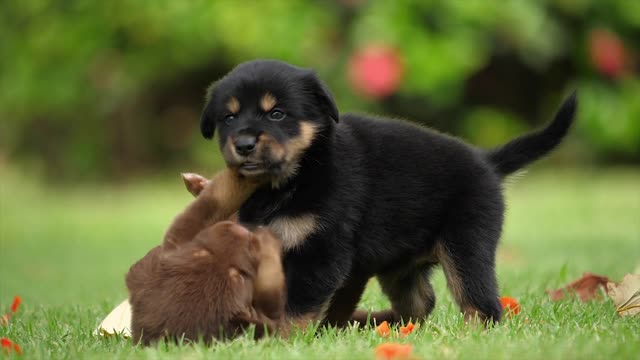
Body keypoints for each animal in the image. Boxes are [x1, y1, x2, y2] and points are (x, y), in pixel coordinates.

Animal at [199, 58, 576, 324]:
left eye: (277, 114)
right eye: (229, 118)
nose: (244, 144)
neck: (298, 175)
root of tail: (486, 161)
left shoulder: (320, 253)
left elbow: (296, 308)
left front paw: (280, 339)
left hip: (467, 247)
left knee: (482, 305)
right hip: (400, 267)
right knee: (423, 301)